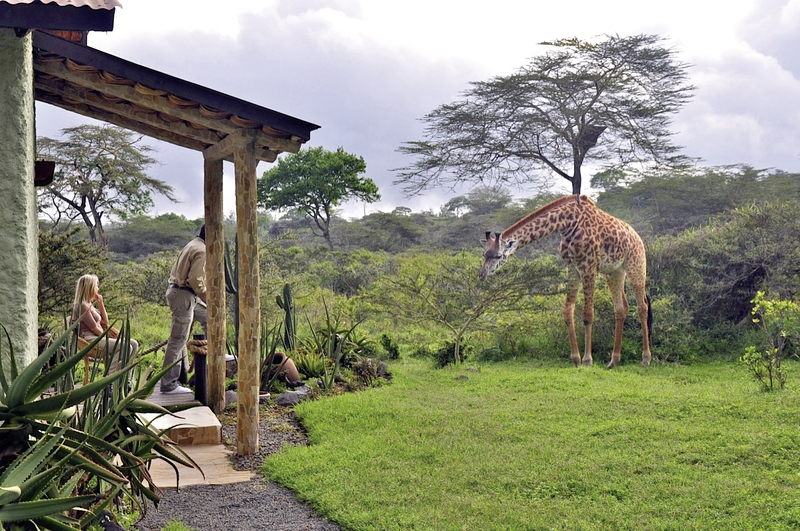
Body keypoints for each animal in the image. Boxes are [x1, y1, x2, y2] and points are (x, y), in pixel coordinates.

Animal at [482, 195, 648, 370]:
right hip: (614, 272)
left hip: (636, 266)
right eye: (484, 254)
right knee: (621, 308)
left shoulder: (588, 267)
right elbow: (568, 312)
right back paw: (614, 361)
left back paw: (646, 358)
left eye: (498, 256)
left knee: (642, 306)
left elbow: (588, 315)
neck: (568, 223)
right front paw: (575, 359)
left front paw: (587, 360)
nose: (482, 274)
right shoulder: (572, 267)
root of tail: (637, 237)